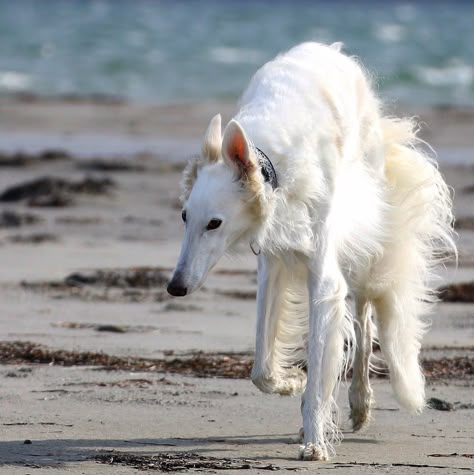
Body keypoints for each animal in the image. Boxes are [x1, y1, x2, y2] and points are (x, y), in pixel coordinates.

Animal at [167, 43, 456, 462]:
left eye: (215, 223)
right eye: (185, 216)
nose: (175, 287)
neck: (273, 163)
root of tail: (328, 48)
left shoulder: (325, 278)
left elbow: (321, 370)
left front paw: (316, 439)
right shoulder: (271, 262)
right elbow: (261, 368)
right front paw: (290, 381)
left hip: (363, 235)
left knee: (364, 319)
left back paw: (360, 402)